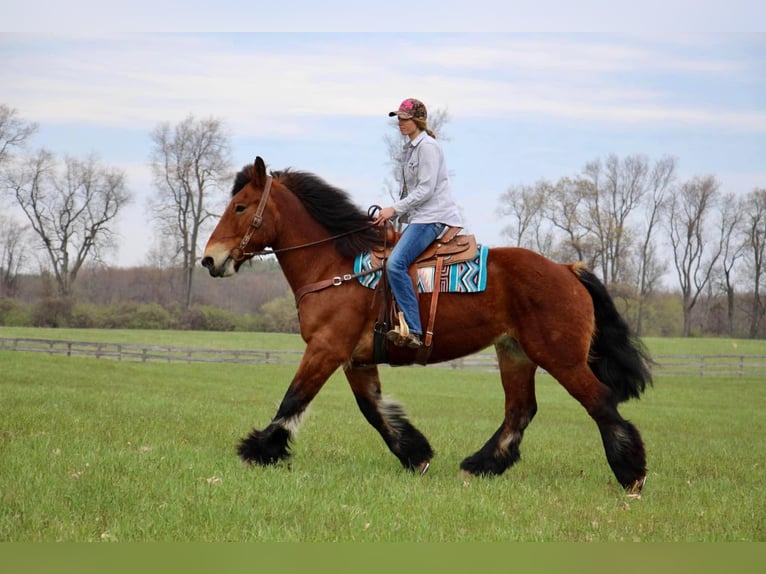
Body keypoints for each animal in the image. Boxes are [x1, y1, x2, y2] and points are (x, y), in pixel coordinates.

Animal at [200, 156, 656, 496]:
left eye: (240, 207)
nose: (209, 259)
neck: (337, 265)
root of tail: (566, 269)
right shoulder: (355, 359)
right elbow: (374, 410)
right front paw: (415, 454)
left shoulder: (326, 348)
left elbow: (293, 400)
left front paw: (259, 449)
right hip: (515, 353)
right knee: (520, 410)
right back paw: (481, 464)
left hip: (561, 358)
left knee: (599, 402)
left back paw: (631, 474)